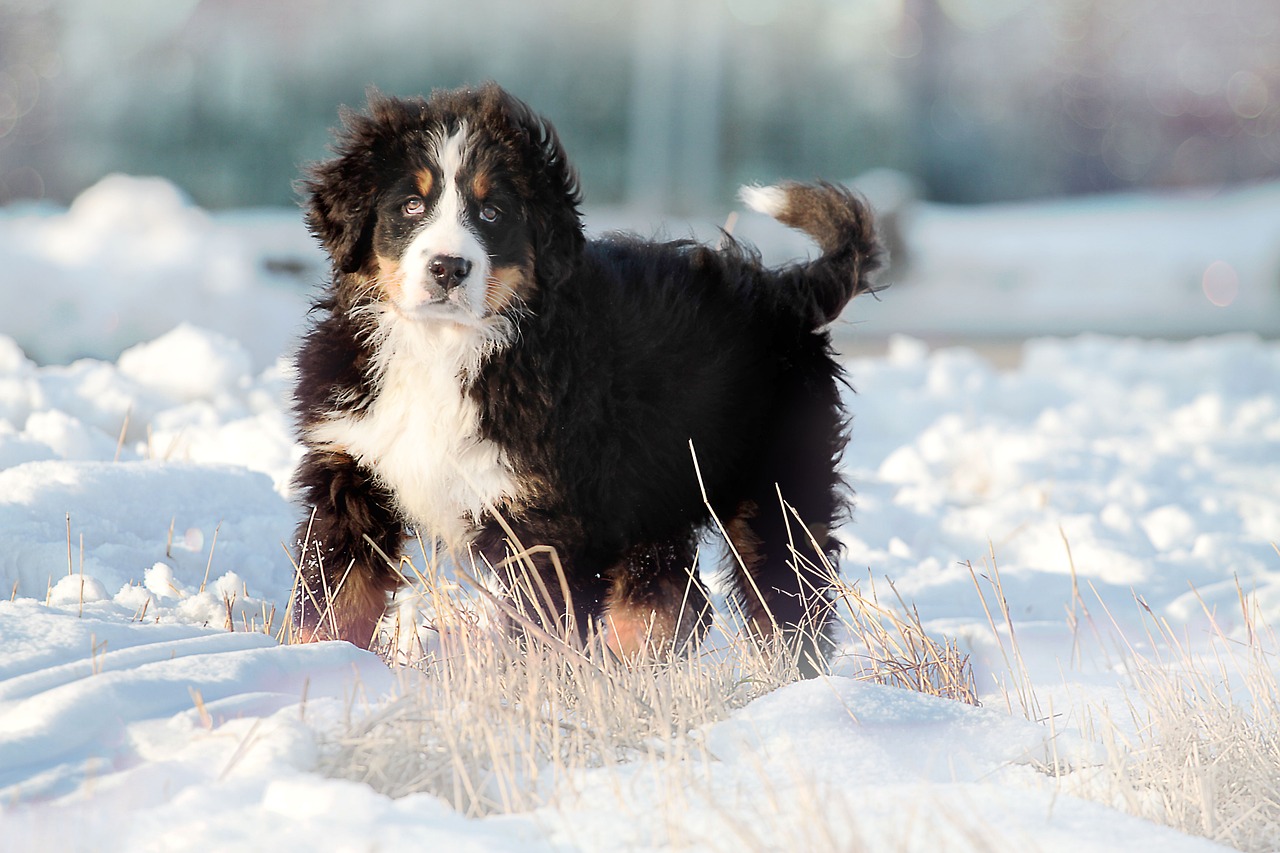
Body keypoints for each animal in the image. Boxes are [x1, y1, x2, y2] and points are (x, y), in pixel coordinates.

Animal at [290, 81, 880, 671]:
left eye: (492, 212)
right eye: (411, 205)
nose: (449, 268)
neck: (443, 347)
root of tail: (788, 292)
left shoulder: (541, 515)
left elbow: (537, 624)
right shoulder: (350, 471)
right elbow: (334, 593)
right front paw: (315, 663)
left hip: (776, 486)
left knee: (787, 594)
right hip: (652, 488)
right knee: (671, 594)